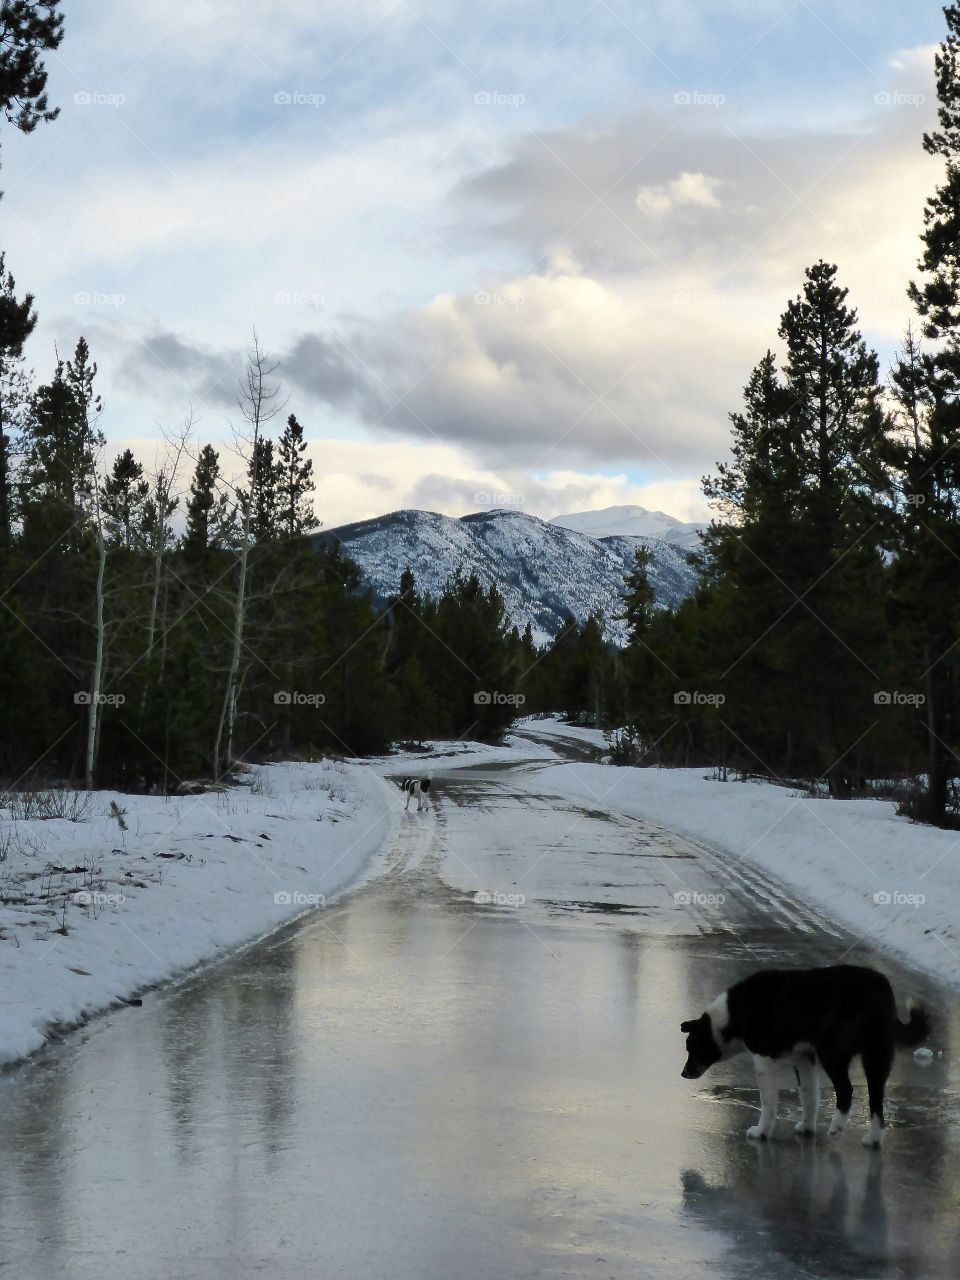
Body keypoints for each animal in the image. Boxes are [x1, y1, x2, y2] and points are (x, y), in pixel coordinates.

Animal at [680, 962, 936, 1146]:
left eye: (691, 1048)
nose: (683, 1074)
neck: (732, 1016)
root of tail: (880, 986)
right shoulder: (804, 1059)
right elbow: (809, 1096)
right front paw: (807, 1128)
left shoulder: (764, 1061)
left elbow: (768, 1103)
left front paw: (761, 1131)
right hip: (876, 1057)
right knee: (876, 1098)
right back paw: (873, 1139)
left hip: (832, 1052)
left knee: (846, 1090)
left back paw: (837, 1127)